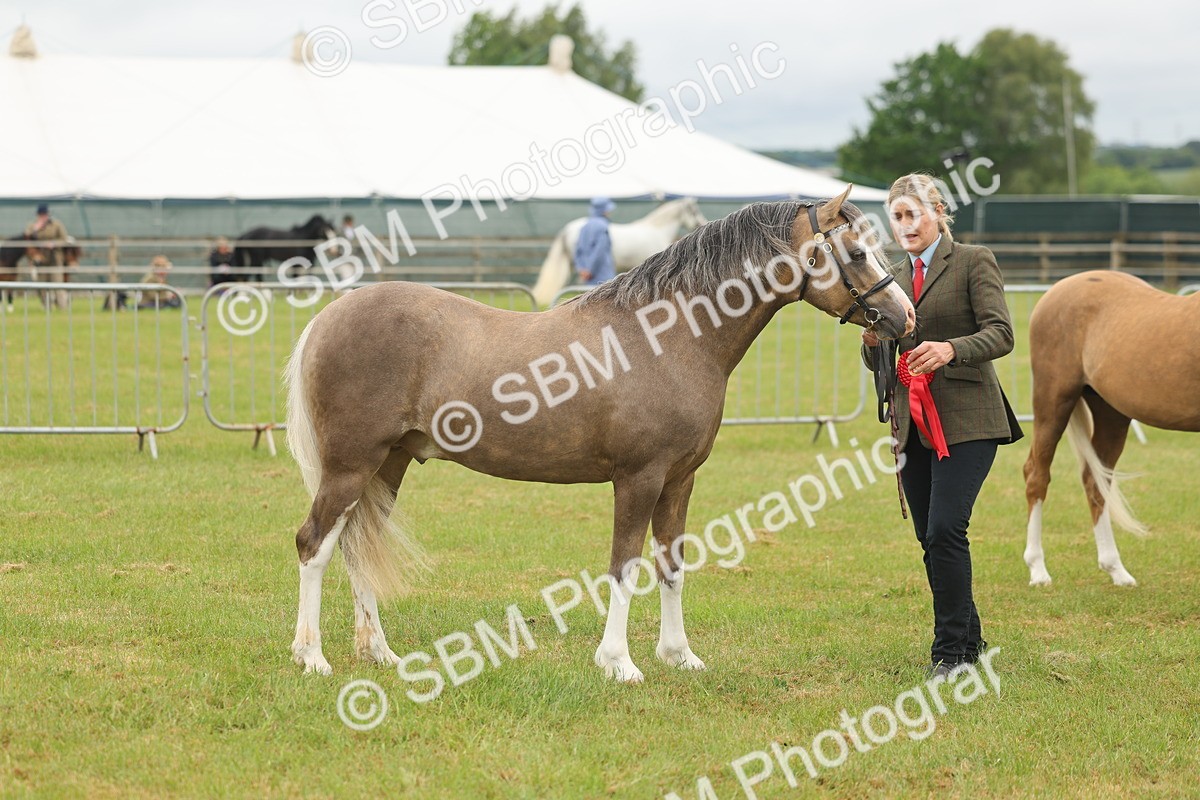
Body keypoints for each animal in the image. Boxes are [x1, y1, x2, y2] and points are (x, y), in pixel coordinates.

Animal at [1022, 271, 1200, 587]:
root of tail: (1057, 289)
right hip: (1052, 403)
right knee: (1036, 476)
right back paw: (1038, 570)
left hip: (1111, 413)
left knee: (1096, 482)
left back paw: (1116, 569)